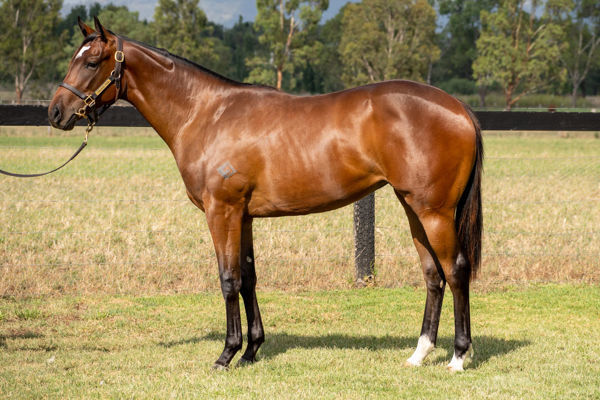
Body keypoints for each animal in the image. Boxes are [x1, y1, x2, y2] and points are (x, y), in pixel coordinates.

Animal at [49, 18, 486, 374]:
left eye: (92, 63)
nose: (56, 112)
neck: (207, 114)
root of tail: (459, 108)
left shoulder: (221, 212)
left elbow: (228, 279)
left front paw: (226, 355)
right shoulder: (242, 216)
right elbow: (248, 279)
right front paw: (251, 350)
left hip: (434, 211)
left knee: (456, 270)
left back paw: (458, 356)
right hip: (413, 208)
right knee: (432, 275)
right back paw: (419, 353)